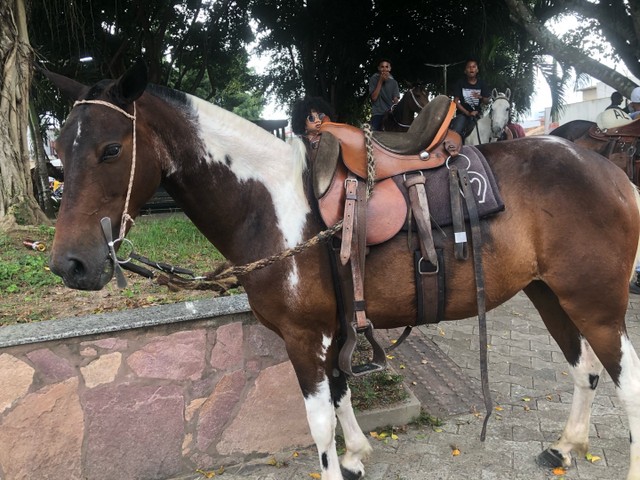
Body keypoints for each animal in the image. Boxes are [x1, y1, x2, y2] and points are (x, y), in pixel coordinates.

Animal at [46, 62, 640, 478]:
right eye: (56, 147)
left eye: (111, 149)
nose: (71, 264)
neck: (271, 207)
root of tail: (612, 173)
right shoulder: (333, 329)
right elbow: (341, 394)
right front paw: (356, 455)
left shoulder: (303, 336)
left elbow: (319, 422)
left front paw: (342, 460)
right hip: (550, 293)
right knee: (583, 369)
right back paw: (566, 446)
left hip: (595, 303)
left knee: (626, 380)